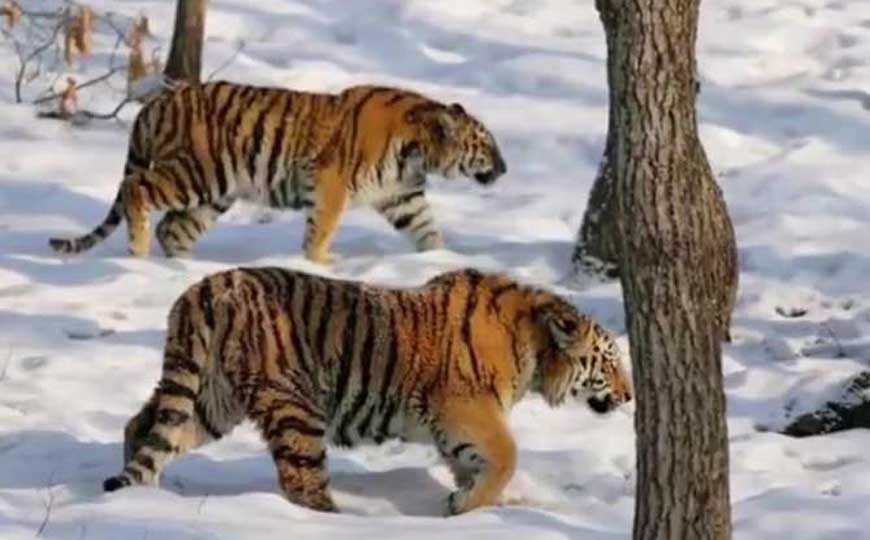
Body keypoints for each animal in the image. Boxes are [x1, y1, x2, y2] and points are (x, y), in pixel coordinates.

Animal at [48, 81, 507, 263]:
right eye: (486, 145)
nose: (504, 168)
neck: (419, 151)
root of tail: (155, 103)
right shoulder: (333, 183)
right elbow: (322, 227)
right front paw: (320, 262)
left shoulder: (402, 195)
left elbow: (428, 229)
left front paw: (439, 260)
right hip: (196, 173)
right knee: (136, 188)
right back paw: (139, 250)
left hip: (216, 192)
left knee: (173, 228)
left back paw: (185, 267)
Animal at [102, 267, 632, 516]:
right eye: (610, 363)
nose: (629, 396)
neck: (537, 350)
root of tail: (206, 288)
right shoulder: (466, 407)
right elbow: (507, 455)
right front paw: (468, 506)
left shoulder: (455, 426)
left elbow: (475, 464)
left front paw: (470, 503)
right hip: (295, 404)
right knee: (302, 480)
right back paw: (341, 521)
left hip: (212, 398)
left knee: (144, 426)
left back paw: (139, 495)